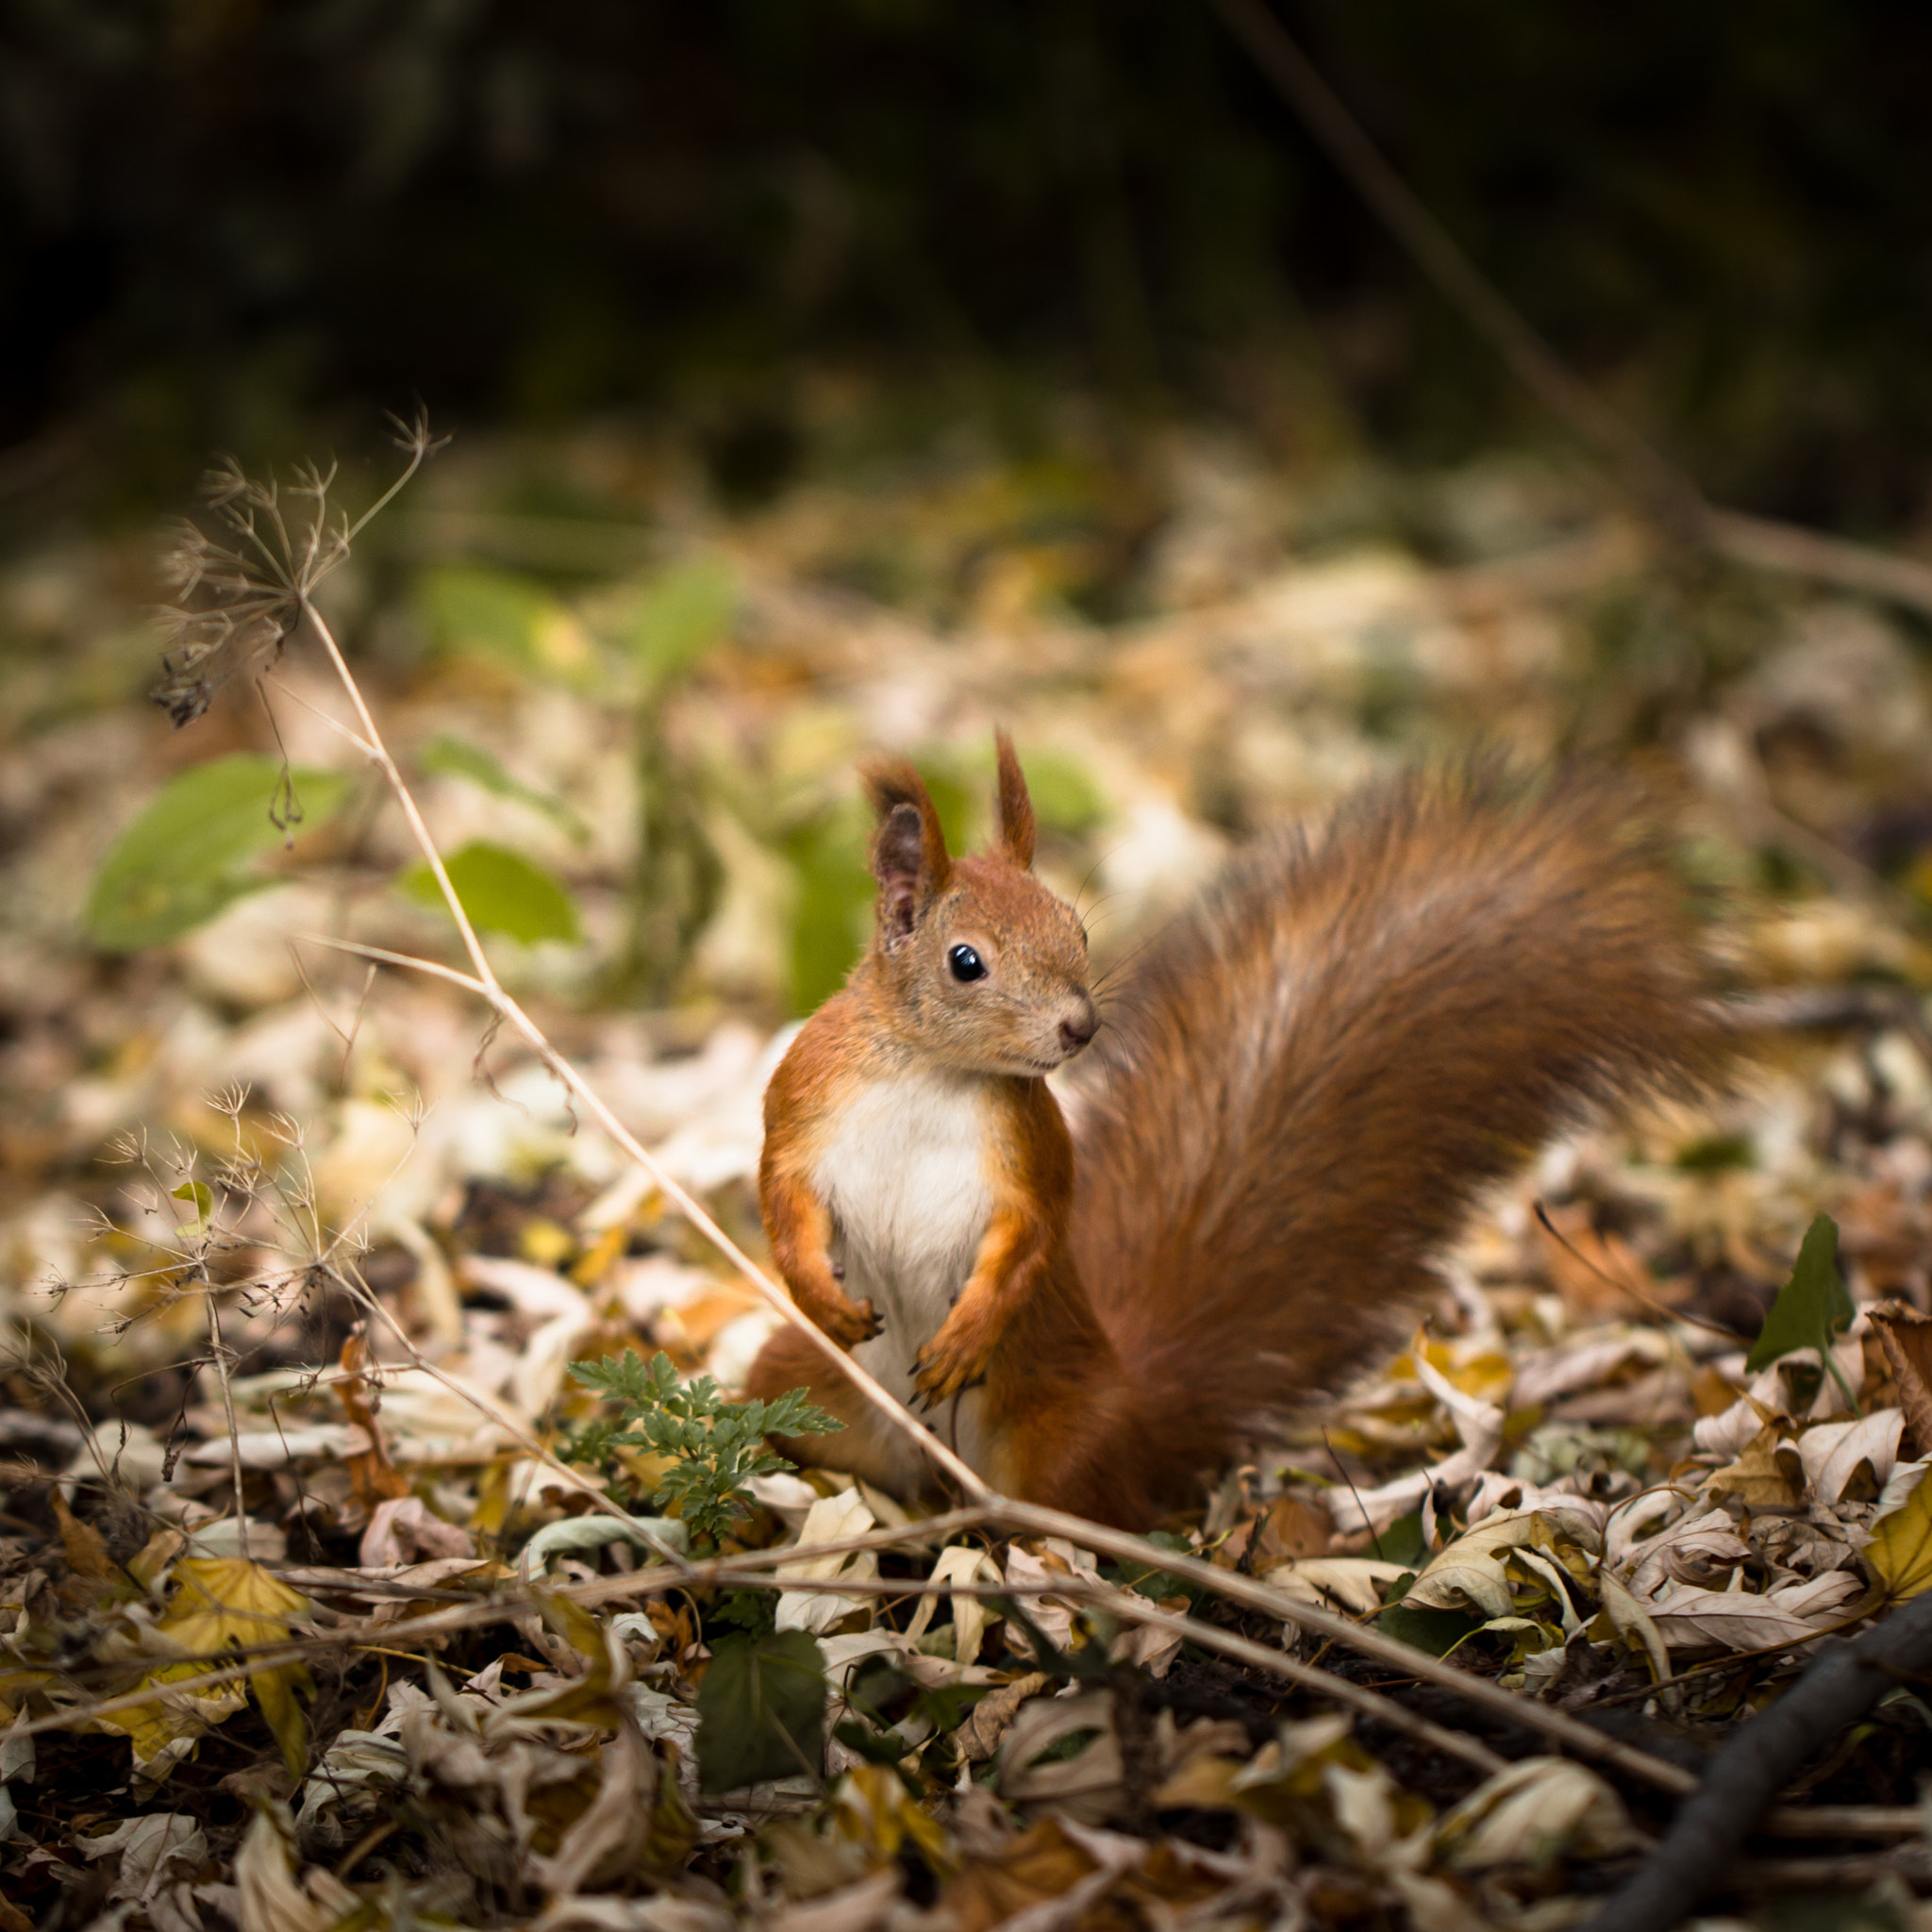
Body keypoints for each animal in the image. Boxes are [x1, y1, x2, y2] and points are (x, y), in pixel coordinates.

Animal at [745, 730, 1731, 1530]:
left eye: (1077, 929)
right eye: (965, 962)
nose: (1079, 1028)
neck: (933, 1073)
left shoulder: (1029, 1155)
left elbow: (1028, 1240)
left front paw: (963, 1336)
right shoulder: (806, 1102)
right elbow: (781, 1195)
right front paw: (819, 1289)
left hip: (1060, 1438)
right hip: (803, 1383)